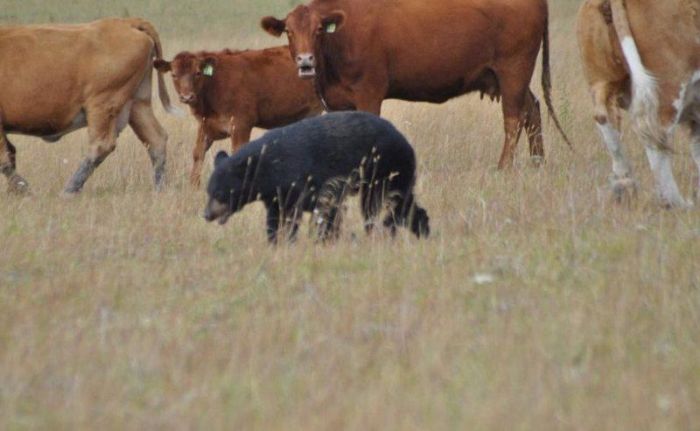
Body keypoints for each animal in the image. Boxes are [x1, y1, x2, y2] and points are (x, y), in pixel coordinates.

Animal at [0, 17, 178, 195]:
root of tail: (127, 22)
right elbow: (10, 153)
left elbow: (4, 159)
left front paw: (23, 189)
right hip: (138, 105)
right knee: (156, 140)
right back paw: (158, 189)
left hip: (102, 105)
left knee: (101, 145)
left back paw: (69, 190)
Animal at [153, 46, 322, 186]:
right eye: (174, 75)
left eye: (198, 73)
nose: (187, 97)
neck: (214, 84)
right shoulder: (206, 125)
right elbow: (198, 153)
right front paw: (193, 186)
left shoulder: (241, 125)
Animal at [205, 112, 430, 243]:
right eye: (208, 192)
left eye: (219, 193)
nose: (206, 214)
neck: (269, 167)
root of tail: (406, 142)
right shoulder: (276, 195)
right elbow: (275, 217)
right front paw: (275, 241)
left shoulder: (302, 180)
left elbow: (318, 210)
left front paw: (320, 238)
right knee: (403, 203)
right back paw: (421, 229)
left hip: (385, 168)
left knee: (380, 205)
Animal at [260, 0, 572, 169]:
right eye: (289, 31)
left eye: (318, 30)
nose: (305, 61)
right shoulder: (337, 103)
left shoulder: (369, 94)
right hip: (504, 77)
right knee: (532, 110)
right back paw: (538, 163)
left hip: (513, 70)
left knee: (513, 118)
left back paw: (504, 167)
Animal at [576, 0, 700, 208]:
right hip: (668, 89)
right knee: (656, 137)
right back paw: (677, 203)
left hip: (600, 82)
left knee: (607, 124)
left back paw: (623, 186)